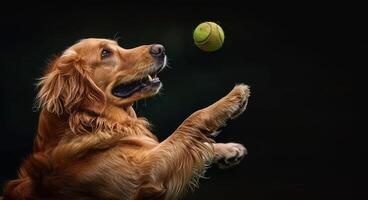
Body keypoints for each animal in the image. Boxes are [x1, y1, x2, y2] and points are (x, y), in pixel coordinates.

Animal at [1, 38, 250, 199]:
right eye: (105, 53)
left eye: (118, 46)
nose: (160, 48)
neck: (94, 122)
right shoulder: (145, 175)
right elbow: (189, 122)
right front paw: (232, 99)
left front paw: (228, 149)